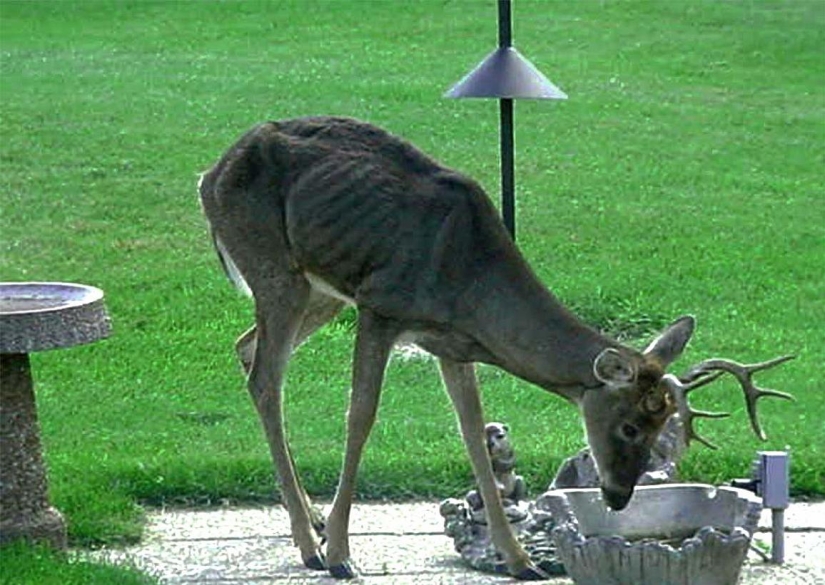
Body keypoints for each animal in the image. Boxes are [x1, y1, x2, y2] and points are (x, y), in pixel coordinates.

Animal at [198, 116, 793, 580]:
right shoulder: (381, 307)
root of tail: (210, 174)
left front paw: (520, 561)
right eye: (628, 426)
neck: (468, 283)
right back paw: (312, 544)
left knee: (247, 348)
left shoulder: (451, 345)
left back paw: (313, 521)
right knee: (265, 377)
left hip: (319, 291)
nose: (620, 496)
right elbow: (360, 417)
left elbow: (472, 434)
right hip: (276, 267)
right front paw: (345, 554)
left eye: (665, 423)